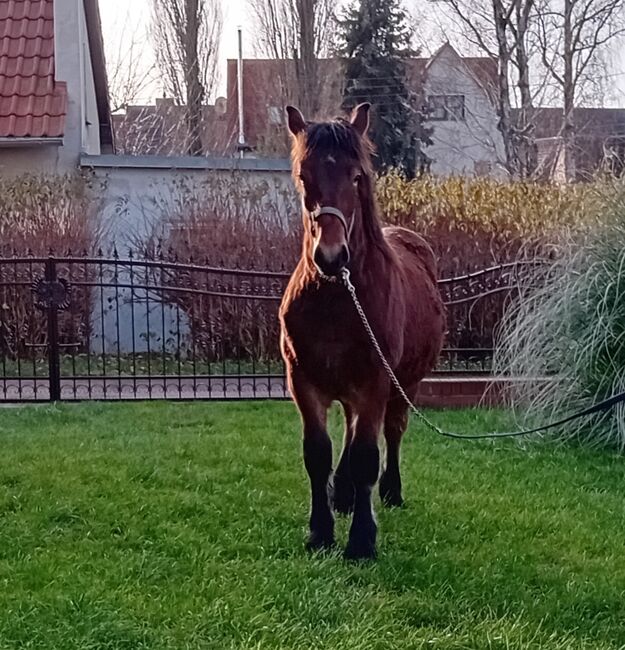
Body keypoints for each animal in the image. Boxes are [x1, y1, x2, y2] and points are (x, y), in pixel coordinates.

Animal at [278, 102, 444, 556]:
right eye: (304, 177)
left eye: (356, 177)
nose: (331, 256)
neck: (338, 298)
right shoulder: (303, 381)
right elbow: (317, 454)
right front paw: (320, 531)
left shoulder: (375, 381)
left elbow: (367, 454)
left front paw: (362, 541)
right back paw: (344, 495)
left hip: (405, 383)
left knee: (392, 431)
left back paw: (389, 490)